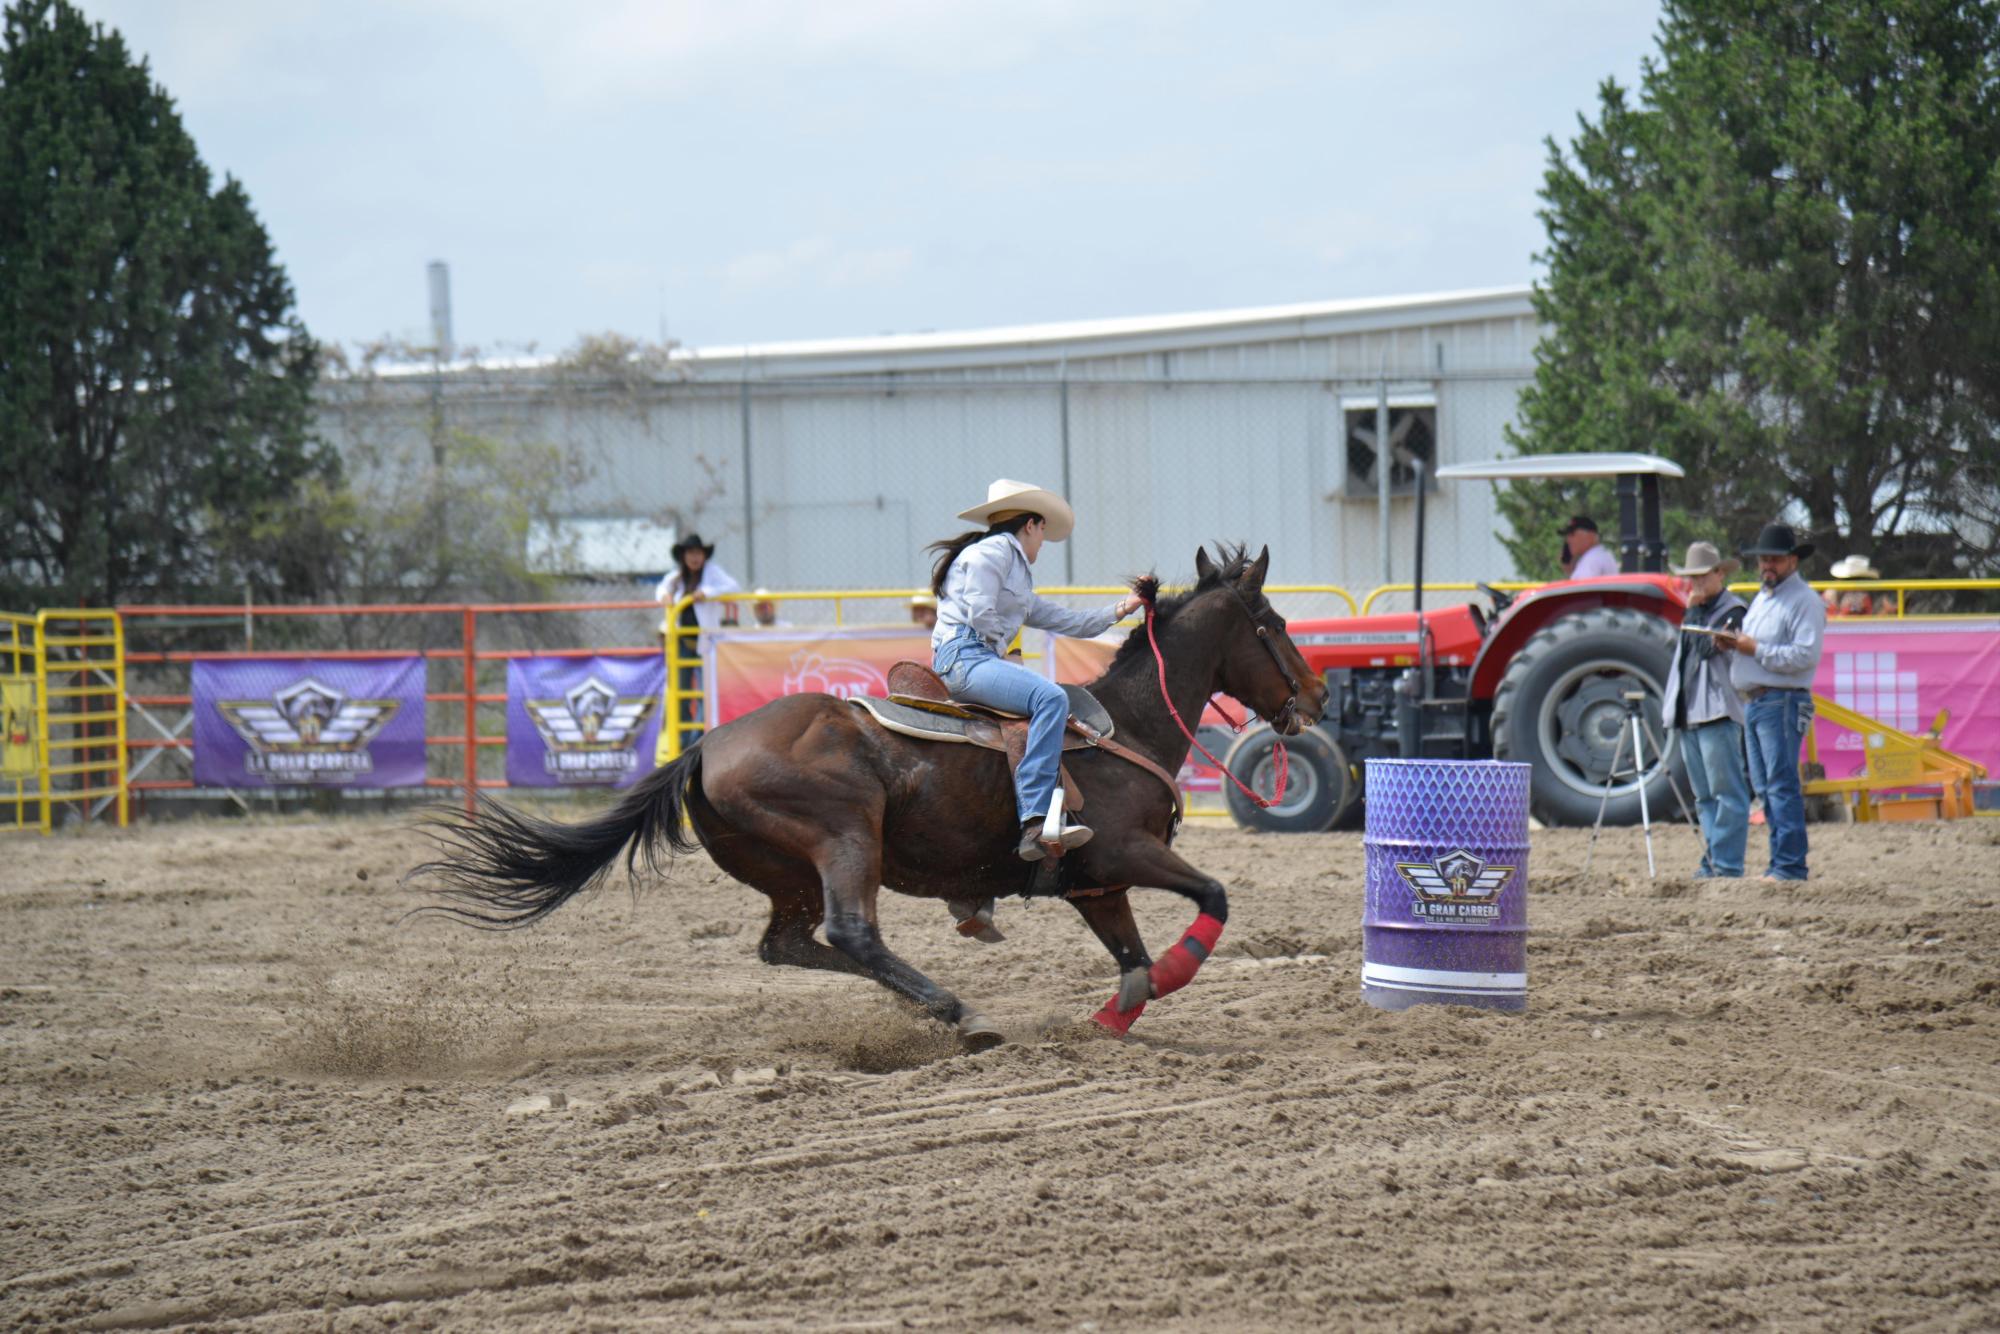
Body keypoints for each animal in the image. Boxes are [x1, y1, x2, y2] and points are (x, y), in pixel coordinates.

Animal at [412, 548, 1328, 1048]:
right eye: (1276, 624)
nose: (1316, 697)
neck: (1126, 725)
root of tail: (707, 744)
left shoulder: (1095, 886)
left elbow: (1132, 960)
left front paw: (1115, 1015)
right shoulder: (1123, 854)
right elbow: (1214, 895)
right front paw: (1165, 979)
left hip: (782, 869)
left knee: (789, 945)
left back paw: (931, 1007)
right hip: (845, 835)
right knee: (852, 931)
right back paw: (959, 1011)